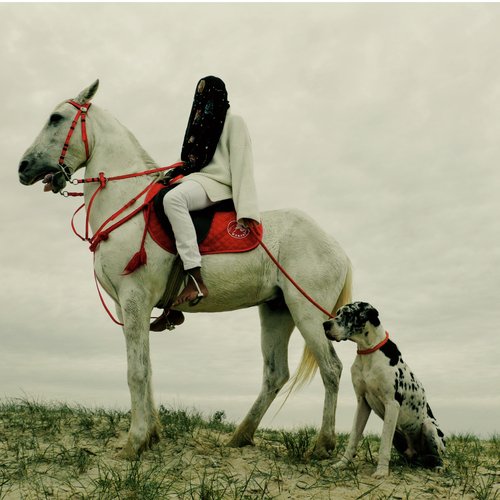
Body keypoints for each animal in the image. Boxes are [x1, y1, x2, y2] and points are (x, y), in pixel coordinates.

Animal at [18, 80, 352, 459]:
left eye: (56, 117)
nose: (23, 167)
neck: (126, 203)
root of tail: (337, 247)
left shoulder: (134, 300)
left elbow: (136, 371)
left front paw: (135, 443)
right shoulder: (126, 306)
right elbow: (146, 369)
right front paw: (151, 435)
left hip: (306, 311)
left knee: (331, 368)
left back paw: (322, 445)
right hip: (276, 310)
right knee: (275, 374)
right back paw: (240, 436)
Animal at [323, 302, 445, 479]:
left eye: (347, 313)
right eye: (337, 312)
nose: (325, 324)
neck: (368, 352)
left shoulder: (391, 404)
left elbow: (383, 444)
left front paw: (381, 471)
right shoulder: (362, 403)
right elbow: (353, 439)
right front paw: (342, 464)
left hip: (429, 426)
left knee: (438, 455)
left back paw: (439, 467)